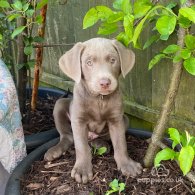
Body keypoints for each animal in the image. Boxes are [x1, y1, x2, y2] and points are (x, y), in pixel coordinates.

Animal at [44, 37, 142, 183]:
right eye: (89, 62)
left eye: (112, 60)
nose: (105, 82)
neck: (99, 98)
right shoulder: (78, 121)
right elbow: (81, 147)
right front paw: (82, 169)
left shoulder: (116, 119)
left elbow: (120, 144)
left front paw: (127, 165)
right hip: (59, 104)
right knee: (68, 136)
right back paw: (55, 151)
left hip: (125, 119)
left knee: (99, 138)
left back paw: (100, 143)